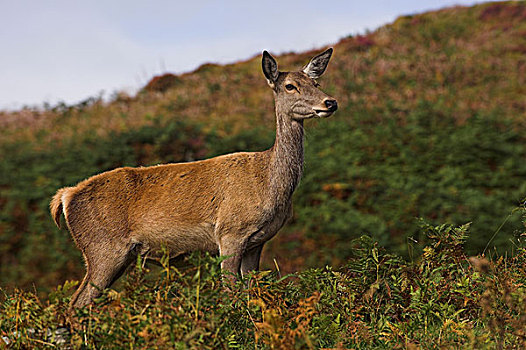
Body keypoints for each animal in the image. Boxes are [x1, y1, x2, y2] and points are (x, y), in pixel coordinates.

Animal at [49, 47, 338, 308]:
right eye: (290, 86)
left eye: (316, 82)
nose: (330, 102)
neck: (268, 181)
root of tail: (65, 197)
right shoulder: (230, 232)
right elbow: (231, 295)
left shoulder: (257, 242)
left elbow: (251, 293)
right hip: (102, 249)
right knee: (75, 304)